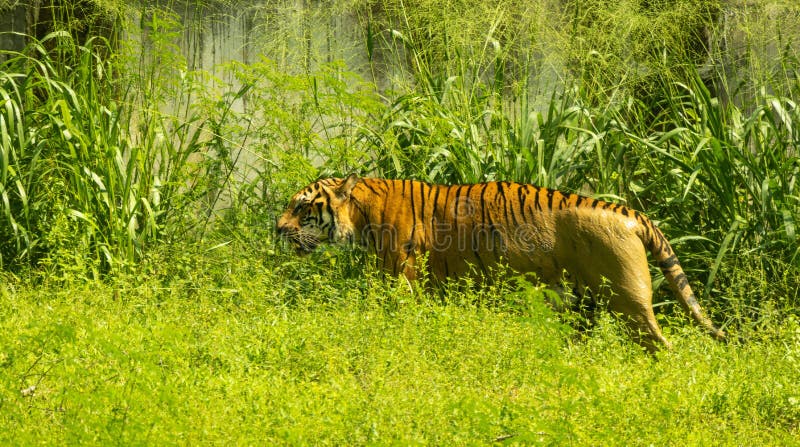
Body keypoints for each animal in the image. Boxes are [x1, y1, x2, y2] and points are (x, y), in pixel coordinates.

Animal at [278, 175, 728, 354]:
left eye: (301, 207)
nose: (277, 228)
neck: (360, 215)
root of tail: (630, 212)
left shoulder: (402, 280)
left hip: (626, 300)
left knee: (661, 343)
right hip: (585, 303)